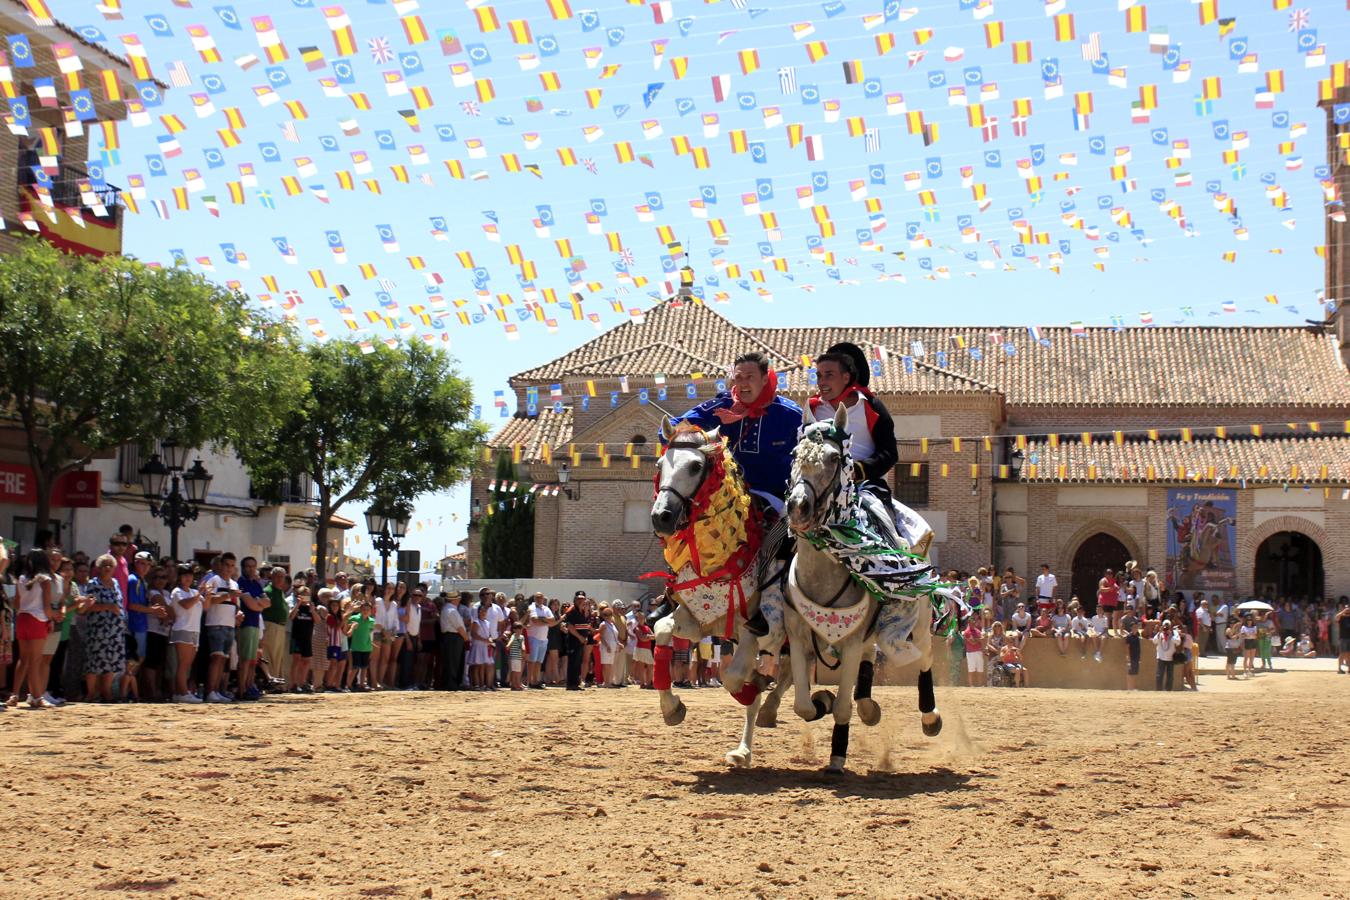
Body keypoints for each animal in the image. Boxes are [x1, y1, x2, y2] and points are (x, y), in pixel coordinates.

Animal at [650, 423, 788, 766]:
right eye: (659, 466)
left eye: (695, 466)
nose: (661, 516)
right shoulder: (699, 621)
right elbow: (662, 629)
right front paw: (672, 708)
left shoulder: (757, 631)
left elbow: (732, 678)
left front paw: (755, 687)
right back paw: (743, 750)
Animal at [788, 402, 945, 777]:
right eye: (796, 455)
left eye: (833, 457)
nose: (797, 506)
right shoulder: (799, 636)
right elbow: (803, 705)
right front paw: (822, 700)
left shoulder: (849, 641)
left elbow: (842, 707)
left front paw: (837, 756)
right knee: (870, 660)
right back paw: (869, 706)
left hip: (917, 623)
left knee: (924, 658)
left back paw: (930, 718)